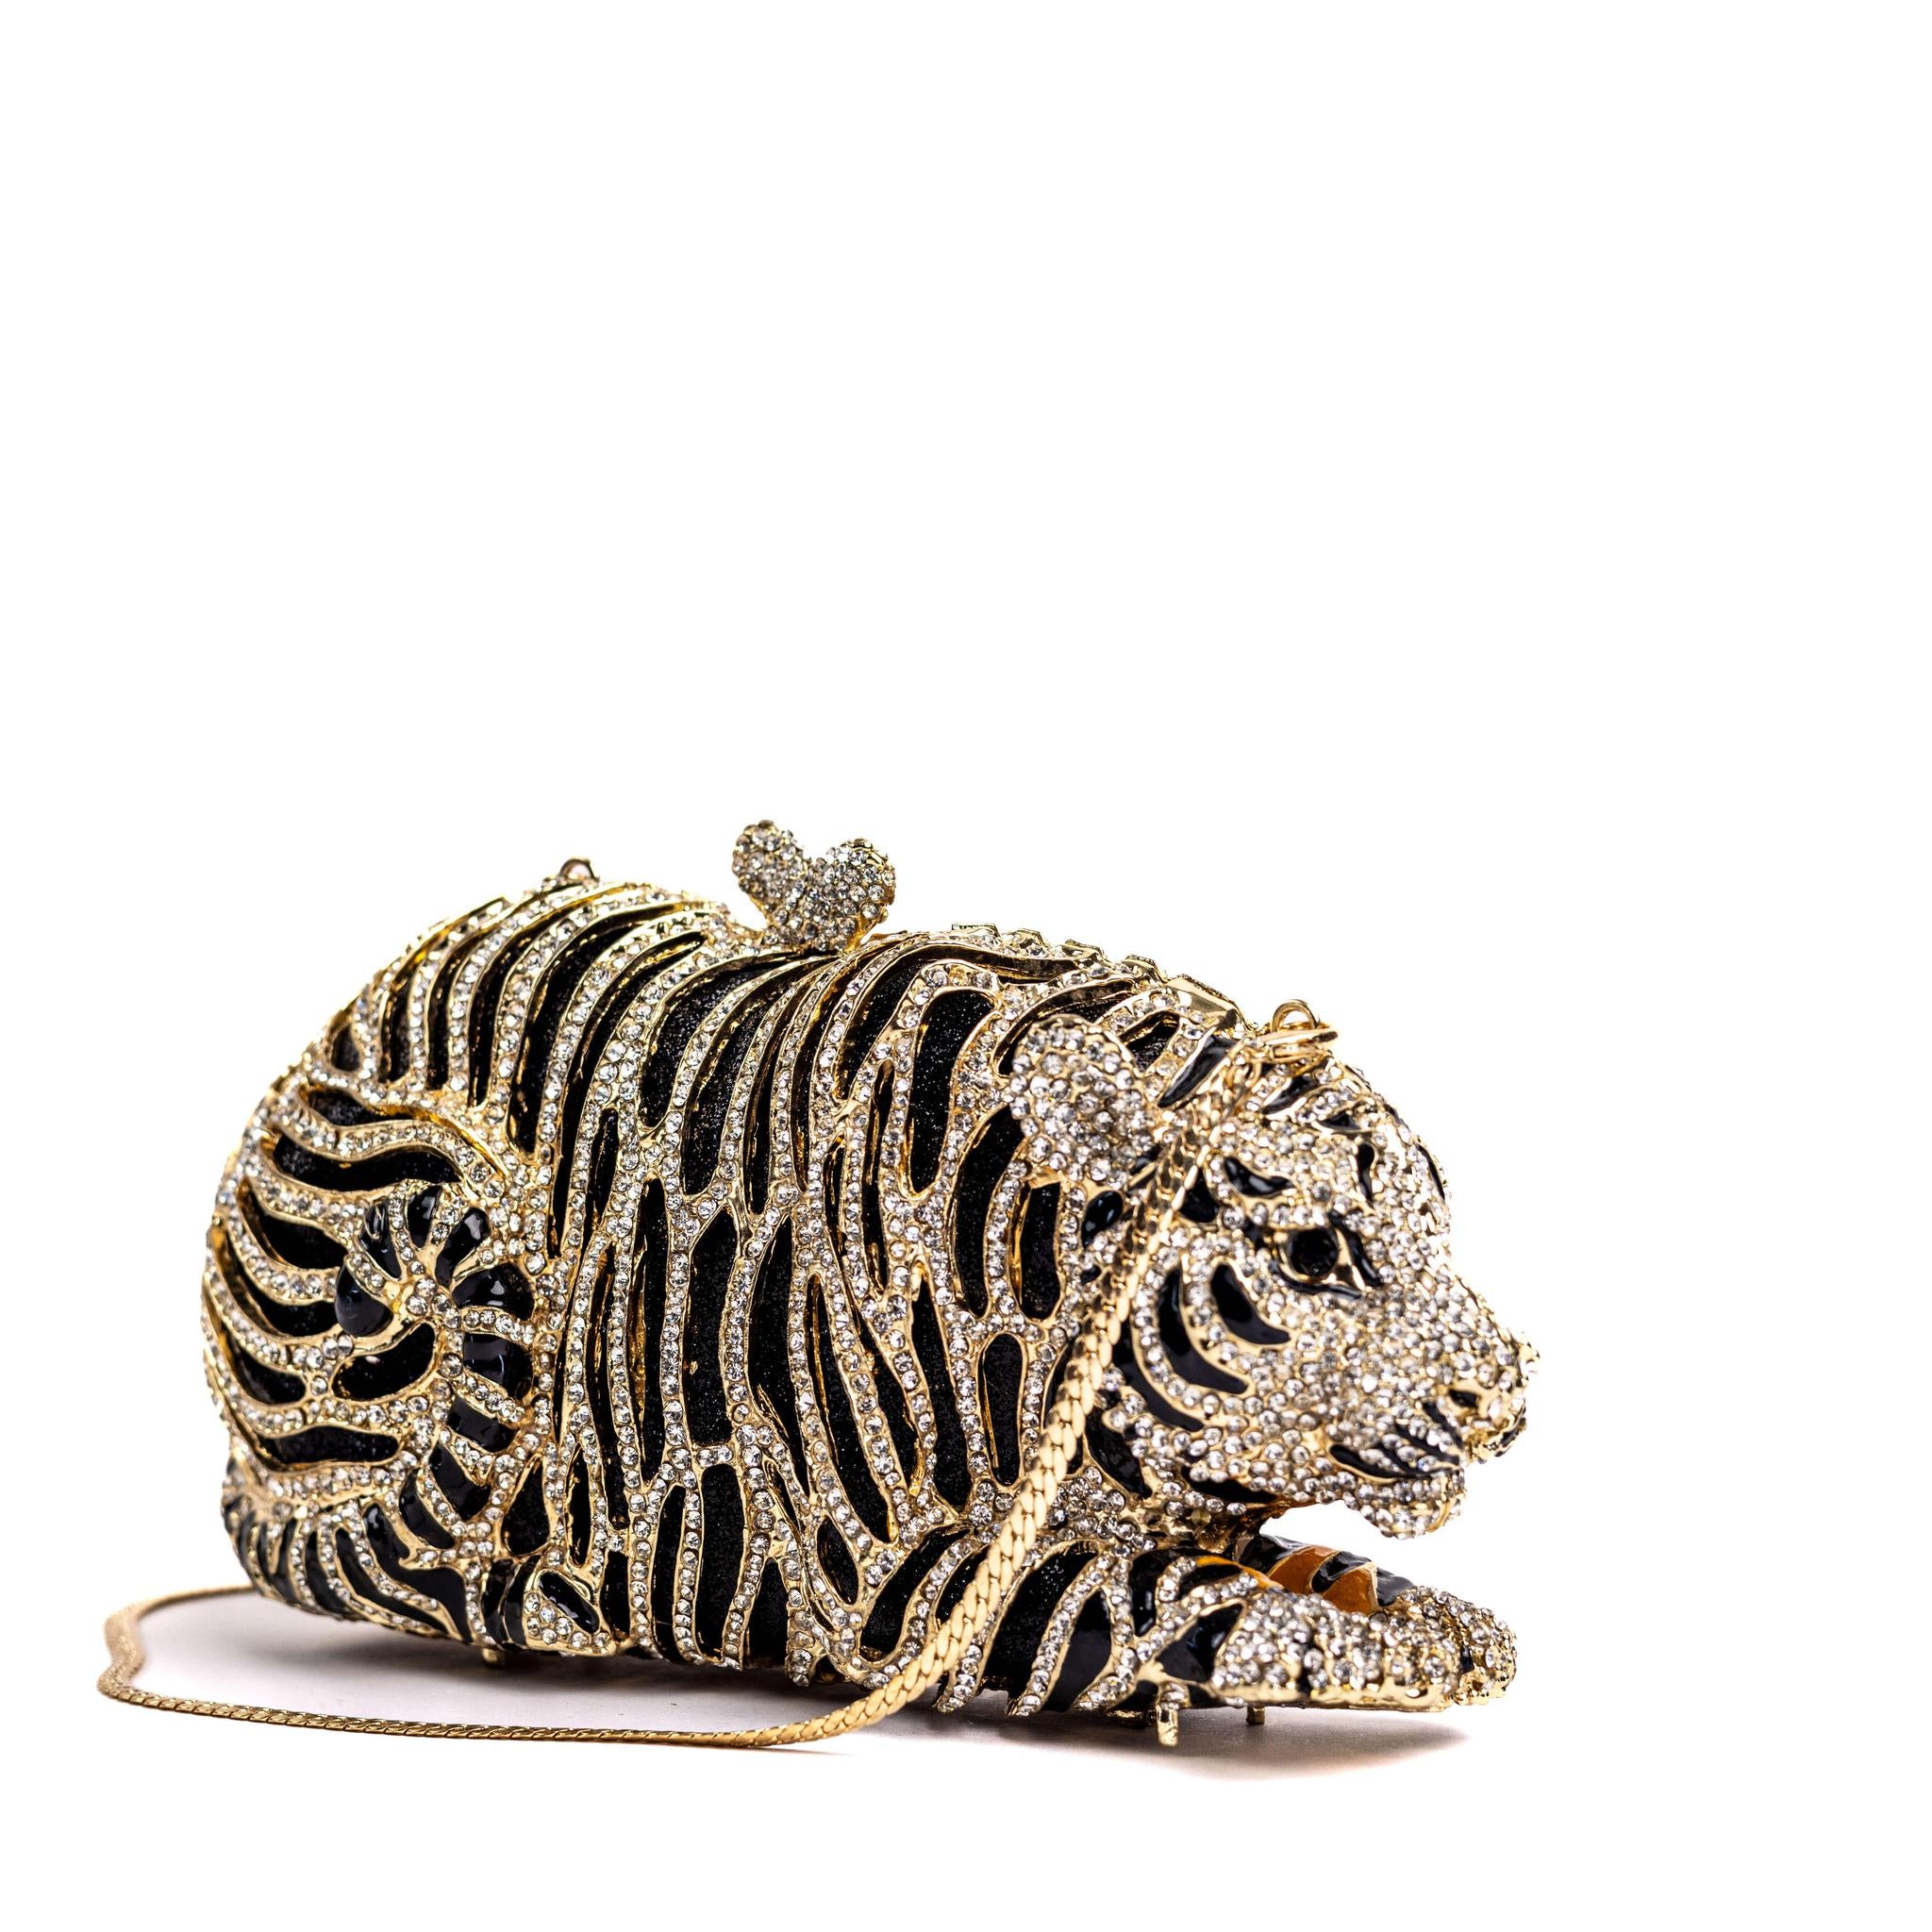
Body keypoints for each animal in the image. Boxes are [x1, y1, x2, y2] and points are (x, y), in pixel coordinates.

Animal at [204, 828, 1533, 1738]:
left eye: (1435, 1219)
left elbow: (1350, 1583)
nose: (1500, 1398)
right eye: (1309, 1253)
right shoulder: (897, 1589)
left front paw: (1430, 1619)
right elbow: (1191, 1611)